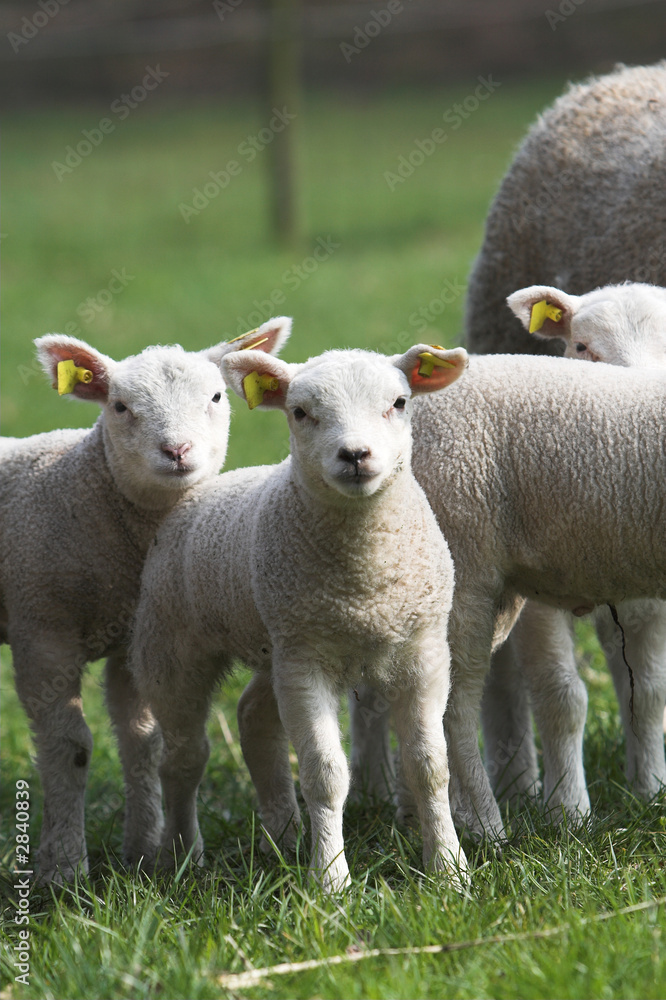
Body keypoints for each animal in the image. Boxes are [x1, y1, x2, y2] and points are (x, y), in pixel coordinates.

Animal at [1, 320, 290, 884]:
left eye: (217, 396)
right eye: (119, 406)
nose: (176, 451)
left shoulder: (135, 634)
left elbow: (143, 742)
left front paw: (144, 850)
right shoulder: (41, 629)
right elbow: (70, 747)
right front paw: (64, 869)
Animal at [128, 342, 466, 892]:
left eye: (399, 402)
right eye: (301, 412)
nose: (355, 455)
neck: (363, 585)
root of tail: (199, 490)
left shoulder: (423, 651)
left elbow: (430, 766)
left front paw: (449, 870)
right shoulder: (307, 665)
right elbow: (324, 775)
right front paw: (330, 880)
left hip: (278, 646)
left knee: (253, 719)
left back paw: (284, 839)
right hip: (173, 646)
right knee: (181, 758)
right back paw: (181, 857)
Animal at [480, 282, 666, 820]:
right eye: (582, 347)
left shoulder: (650, 602)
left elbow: (649, 693)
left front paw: (651, 790)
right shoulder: (537, 604)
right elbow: (561, 696)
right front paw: (568, 812)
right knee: (499, 684)